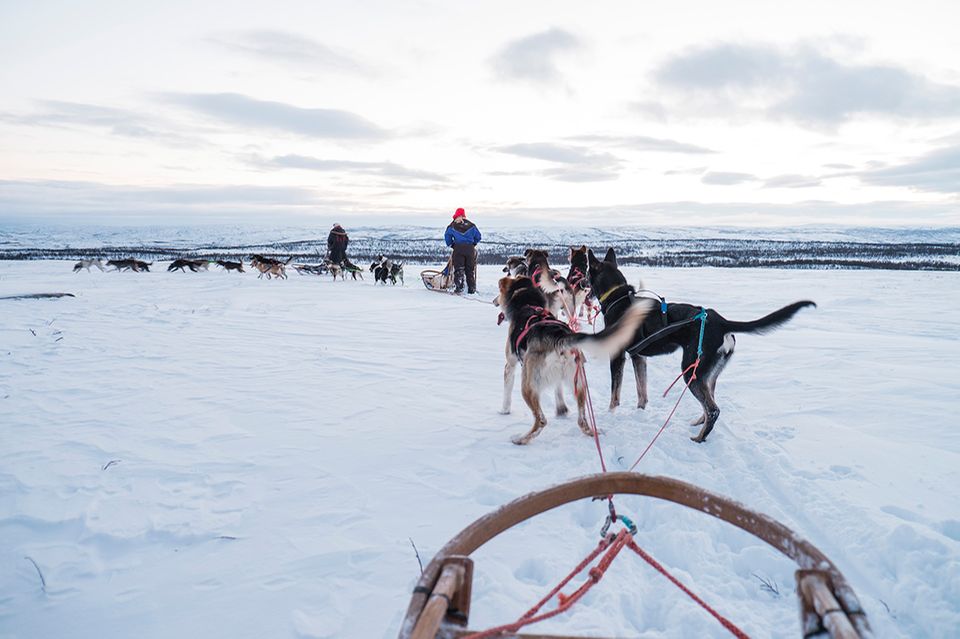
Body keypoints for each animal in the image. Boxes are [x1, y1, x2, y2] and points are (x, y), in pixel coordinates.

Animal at [496, 276, 652, 444]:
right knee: (582, 420)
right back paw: (593, 432)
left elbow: (506, 393)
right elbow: (559, 393)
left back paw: (521, 439)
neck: (528, 303)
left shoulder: (510, 365)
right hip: (579, 384)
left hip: (528, 386)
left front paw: (504, 411)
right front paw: (561, 410)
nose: (495, 301)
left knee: (541, 421)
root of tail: (559, 337)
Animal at [584, 250, 816, 444]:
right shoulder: (639, 357)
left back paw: (699, 437)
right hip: (707, 373)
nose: (583, 287)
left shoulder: (618, 355)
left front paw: (611, 414)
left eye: (587, 274)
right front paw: (640, 412)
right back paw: (699, 422)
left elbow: (615, 393)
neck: (619, 298)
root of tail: (722, 322)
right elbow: (642, 392)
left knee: (713, 409)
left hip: (691, 371)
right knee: (710, 400)